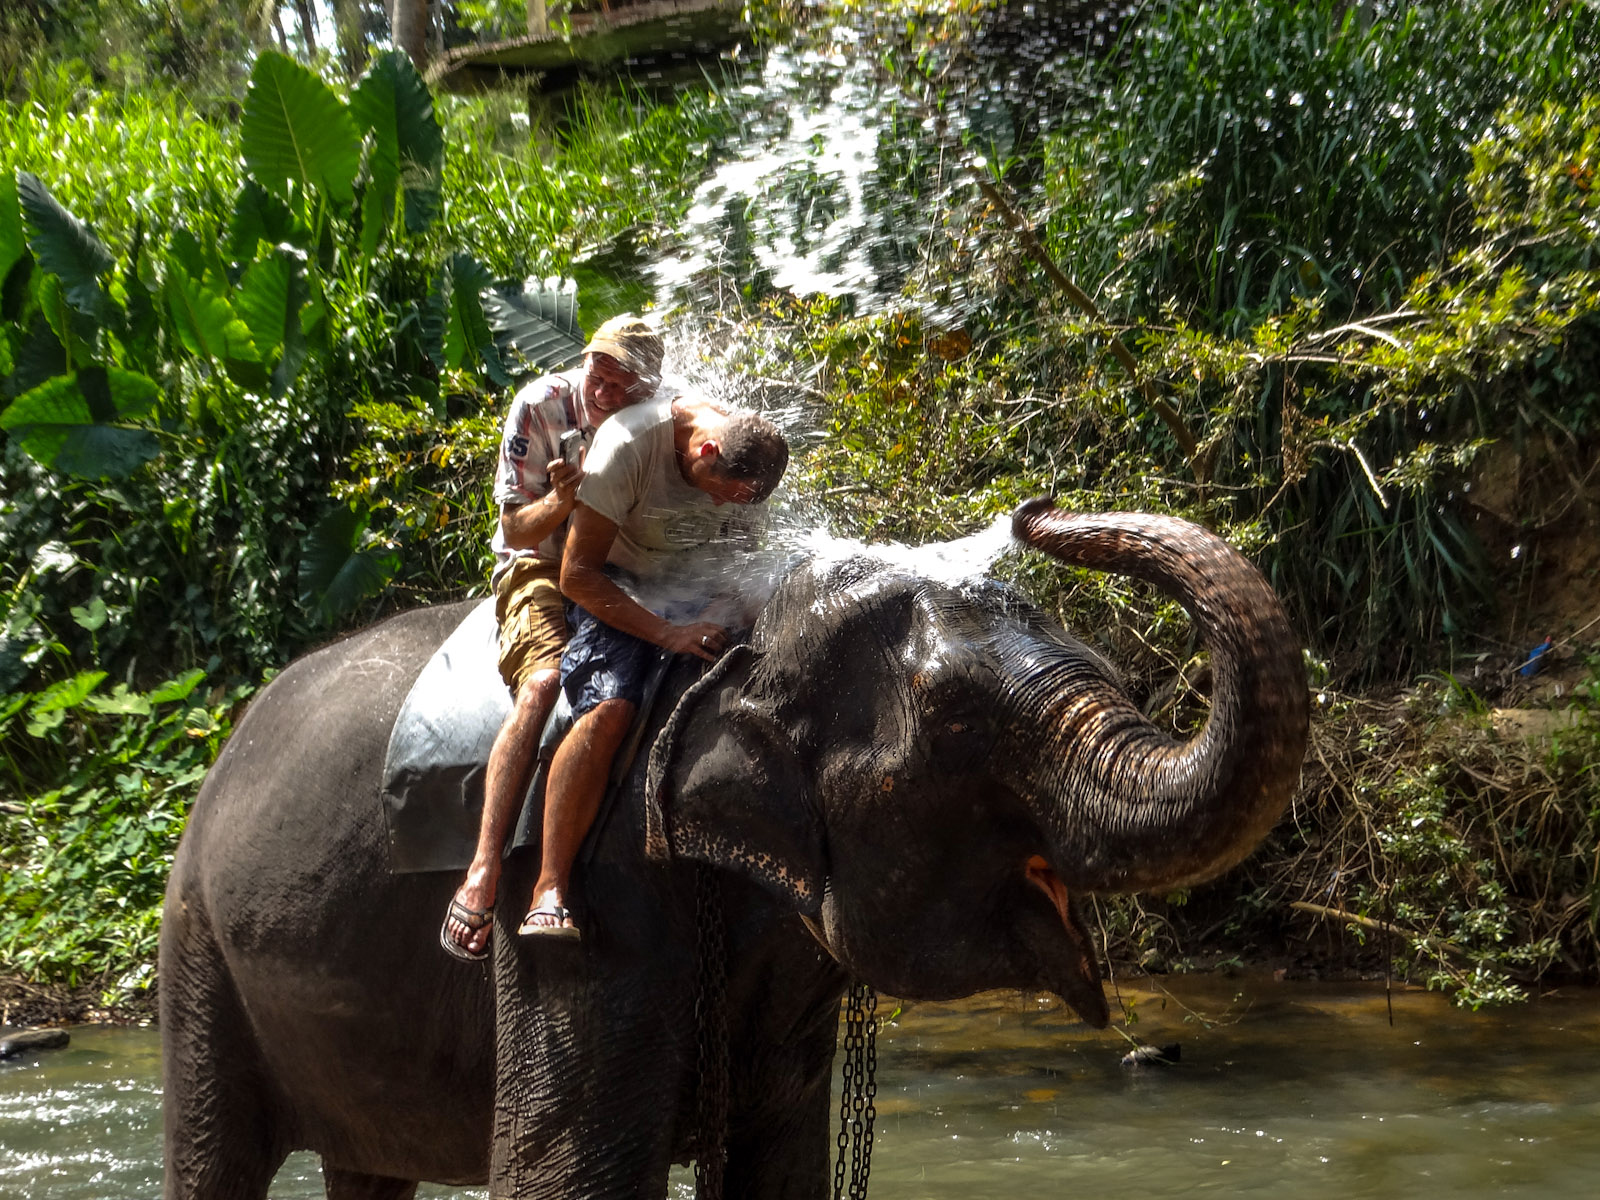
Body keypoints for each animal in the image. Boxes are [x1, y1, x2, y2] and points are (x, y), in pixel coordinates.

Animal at [159, 500, 1308, 1200]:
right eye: (955, 723)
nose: (1031, 514)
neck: (740, 638)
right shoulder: (593, 882)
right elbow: (565, 1175)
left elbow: (779, 1169)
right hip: (198, 941)